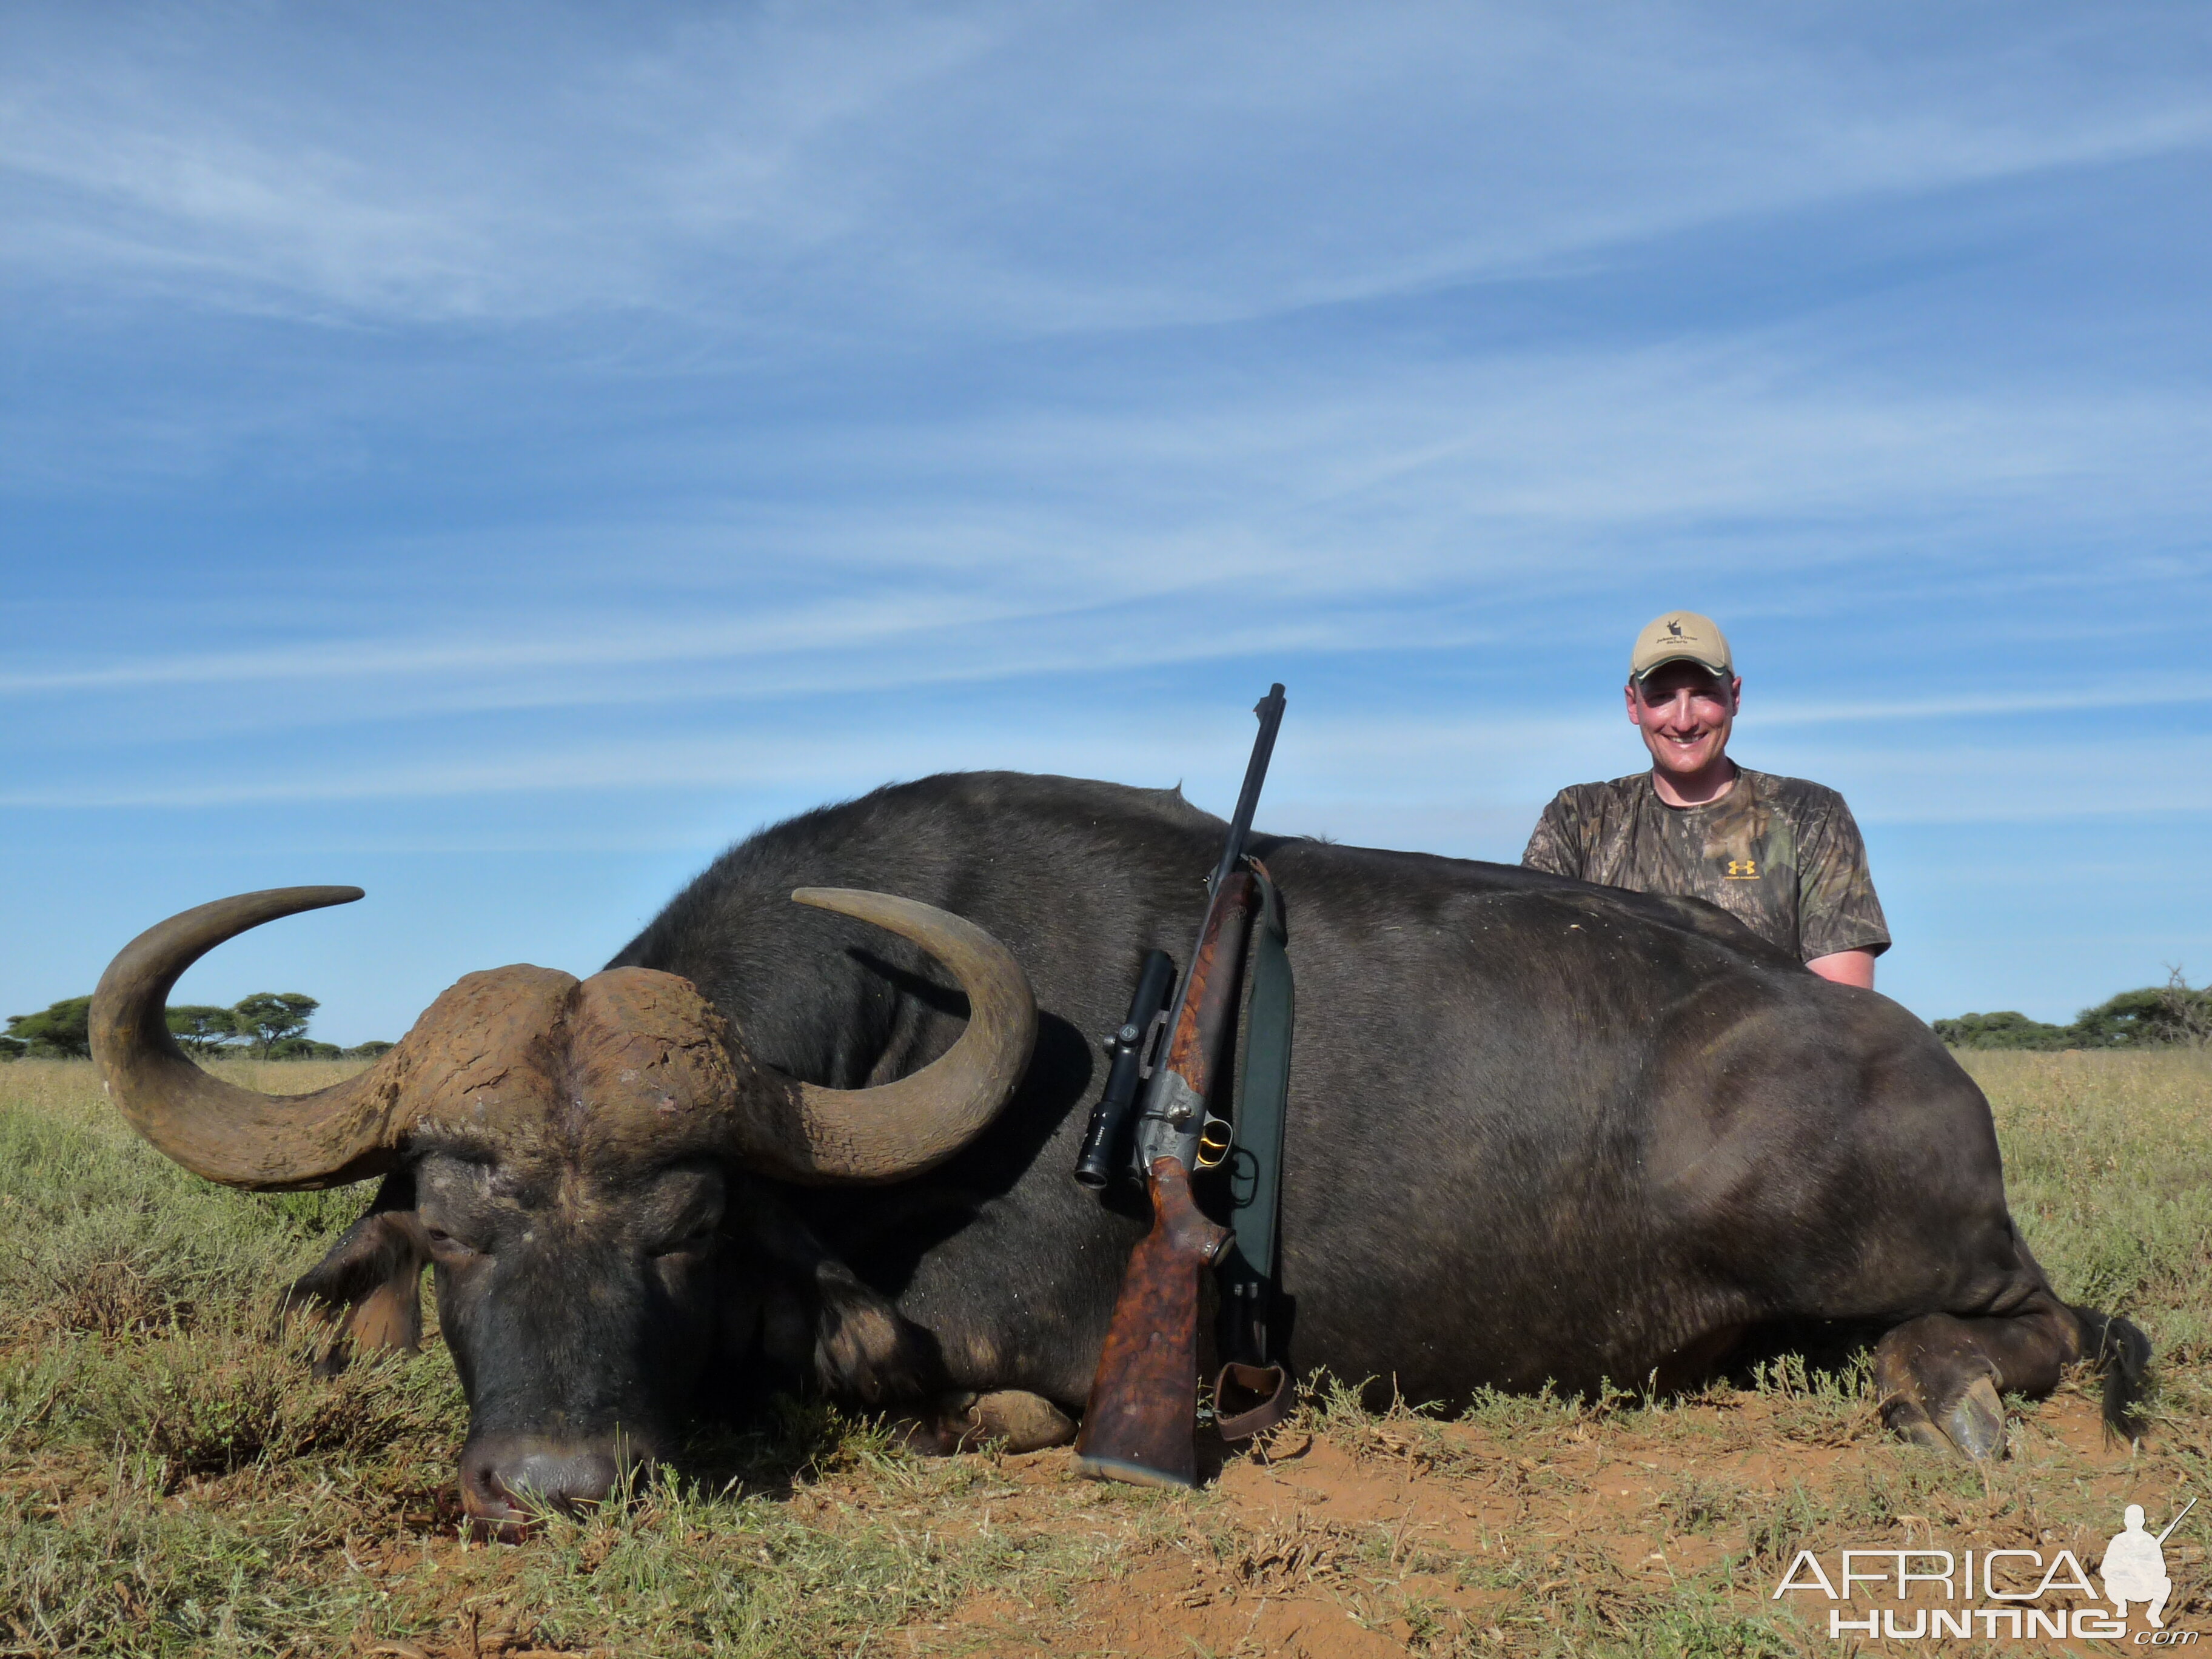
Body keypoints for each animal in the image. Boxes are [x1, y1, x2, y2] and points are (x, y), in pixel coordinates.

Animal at [90, 774, 2141, 1540]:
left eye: (680, 1229)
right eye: (448, 1231)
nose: (554, 1485)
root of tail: (1920, 1062)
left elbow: (932, 1387)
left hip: (1914, 1258)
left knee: (2040, 1326)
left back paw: (1945, 1394)